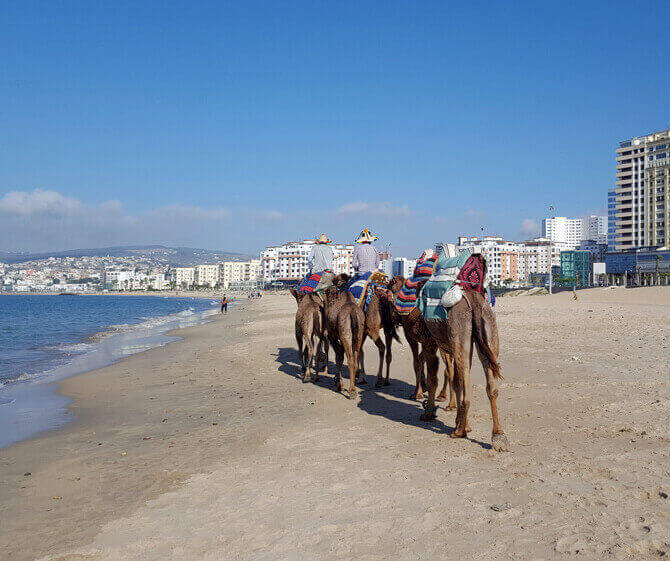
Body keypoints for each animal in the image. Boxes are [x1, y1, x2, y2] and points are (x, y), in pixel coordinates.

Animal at [386, 276, 460, 406]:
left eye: (389, 287)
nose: (394, 317)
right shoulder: (427, 341)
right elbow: (422, 360)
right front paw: (423, 389)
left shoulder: (412, 336)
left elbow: (416, 363)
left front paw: (417, 393)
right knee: (449, 367)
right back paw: (443, 396)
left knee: (449, 367)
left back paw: (451, 403)